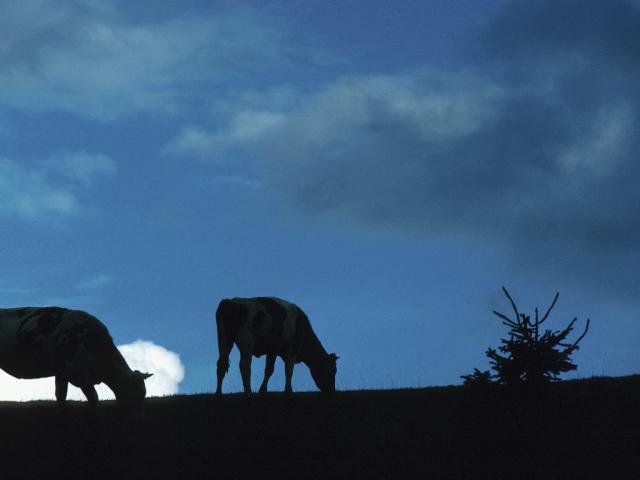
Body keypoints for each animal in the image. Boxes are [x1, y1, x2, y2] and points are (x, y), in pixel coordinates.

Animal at [0, 307, 152, 417]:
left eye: (144, 393)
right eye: (136, 391)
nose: (141, 417)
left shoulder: (66, 373)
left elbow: (64, 395)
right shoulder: (74, 372)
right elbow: (90, 397)